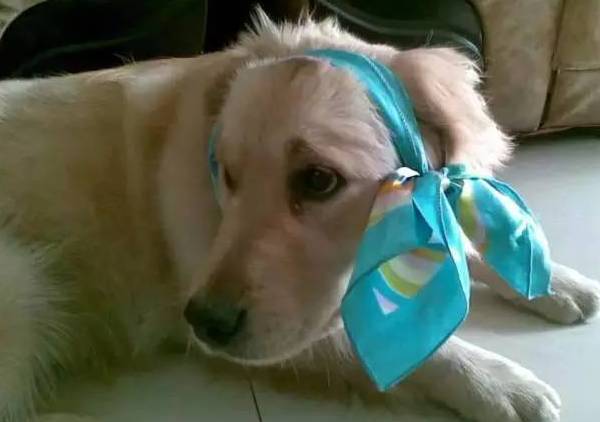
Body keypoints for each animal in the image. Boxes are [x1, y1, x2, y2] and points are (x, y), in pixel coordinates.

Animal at [0, 11, 599, 422]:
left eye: (317, 180)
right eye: (228, 175)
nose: (206, 323)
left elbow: (465, 246)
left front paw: (549, 278)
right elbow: (423, 354)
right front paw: (501, 383)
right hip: (24, 286)